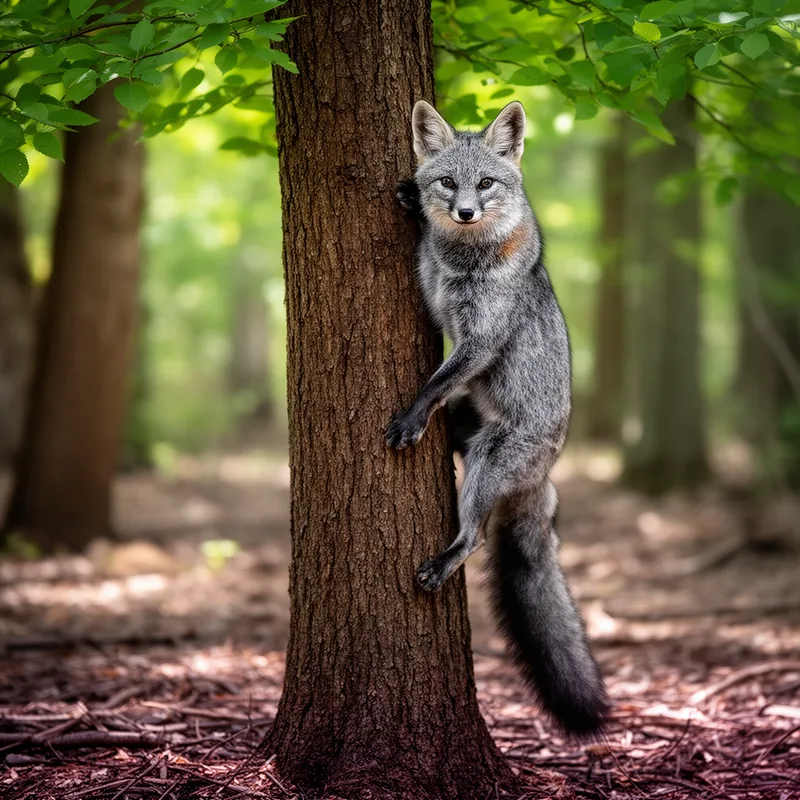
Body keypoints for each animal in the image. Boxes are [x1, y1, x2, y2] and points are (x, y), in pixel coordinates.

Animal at [385, 100, 608, 737]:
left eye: (486, 184)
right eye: (447, 182)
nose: (463, 212)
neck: (465, 259)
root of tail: (546, 476)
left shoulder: (480, 338)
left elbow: (435, 383)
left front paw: (411, 417)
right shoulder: (436, 295)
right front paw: (413, 204)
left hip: (487, 465)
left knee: (476, 535)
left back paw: (446, 558)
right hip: (470, 436)